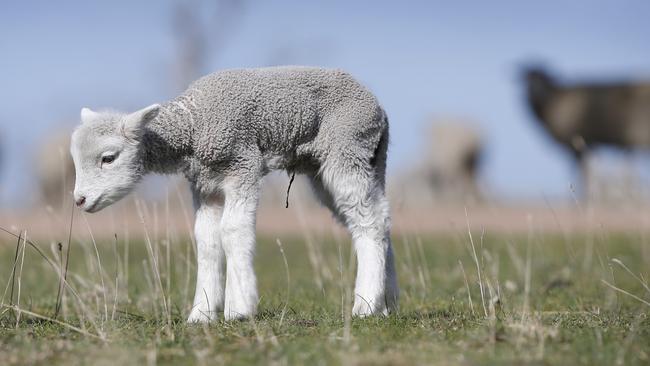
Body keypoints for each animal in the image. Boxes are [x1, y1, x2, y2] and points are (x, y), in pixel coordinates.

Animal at [69, 65, 394, 320]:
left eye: (108, 158)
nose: (79, 200)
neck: (193, 125)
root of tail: (380, 111)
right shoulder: (205, 185)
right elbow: (207, 240)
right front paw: (201, 314)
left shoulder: (242, 166)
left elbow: (233, 231)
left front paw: (238, 309)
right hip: (354, 162)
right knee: (379, 217)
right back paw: (386, 304)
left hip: (346, 147)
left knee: (369, 222)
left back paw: (365, 306)